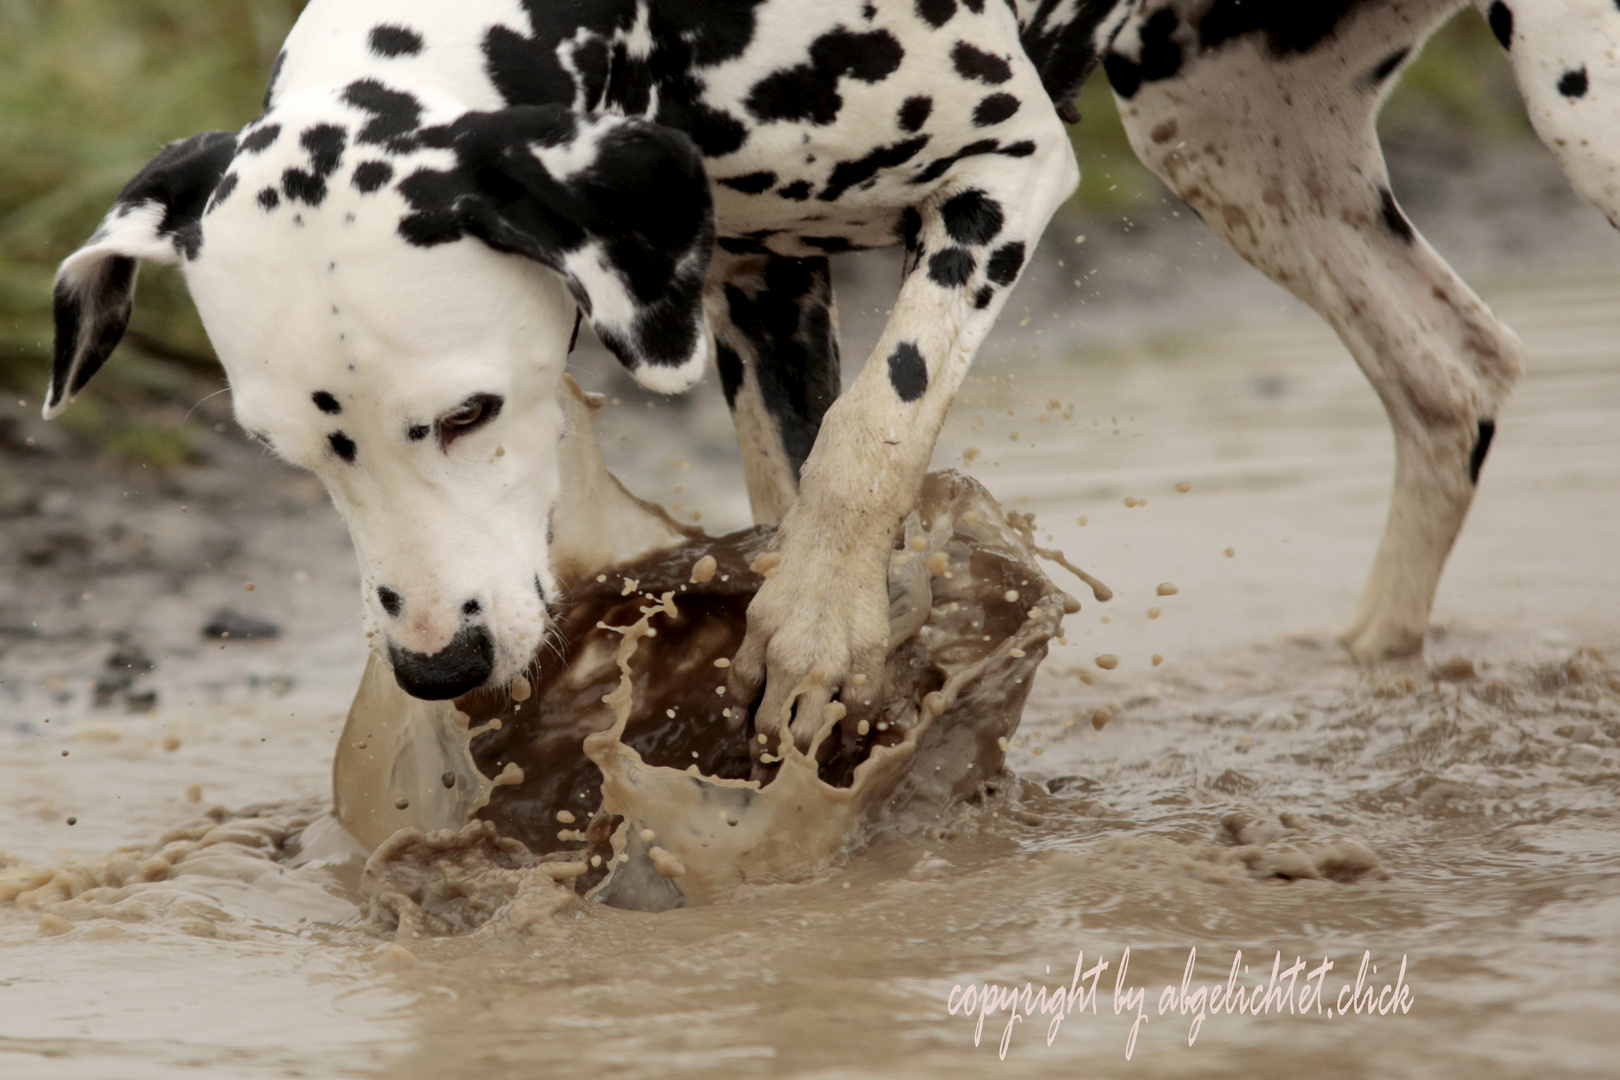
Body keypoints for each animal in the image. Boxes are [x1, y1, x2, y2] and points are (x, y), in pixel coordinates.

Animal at [44, 0, 1620, 748]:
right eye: (290, 457)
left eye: (468, 413)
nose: (439, 664)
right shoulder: (753, 278)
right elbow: (793, 483)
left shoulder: (1003, 170)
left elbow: (877, 428)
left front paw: (815, 629)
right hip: (1228, 137)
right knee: (1453, 373)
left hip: (1581, 106)